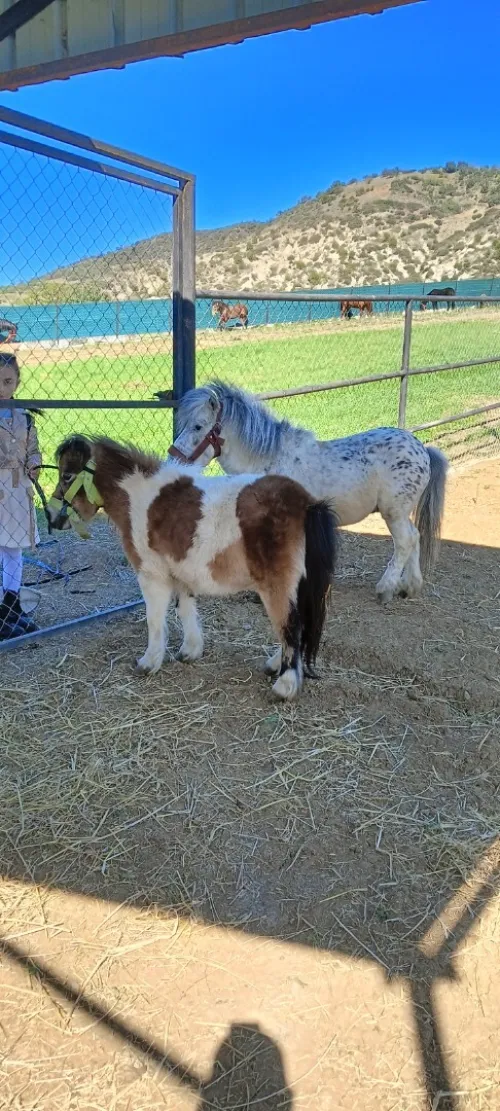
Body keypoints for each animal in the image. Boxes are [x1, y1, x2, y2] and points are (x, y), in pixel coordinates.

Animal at [48, 435, 337, 700]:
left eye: (67, 475)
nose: (52, 519)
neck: (140, 498)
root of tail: (307, 503)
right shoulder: (180, 573)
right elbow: (185, 610)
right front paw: (190, 651)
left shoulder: (151, 576)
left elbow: (155, 619)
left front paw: (148, 662)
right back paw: (276, 665)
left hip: (276, 586)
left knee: (291, 626)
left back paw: (285, 685)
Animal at [167, 381, 448, 605]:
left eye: (198, 426)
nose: (174, 460)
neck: (269, 460)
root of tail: (422, 449)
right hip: (400, 513)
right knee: (415, 537)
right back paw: (410, 587)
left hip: (394, 512)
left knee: (405, 542)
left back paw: (386, 589)